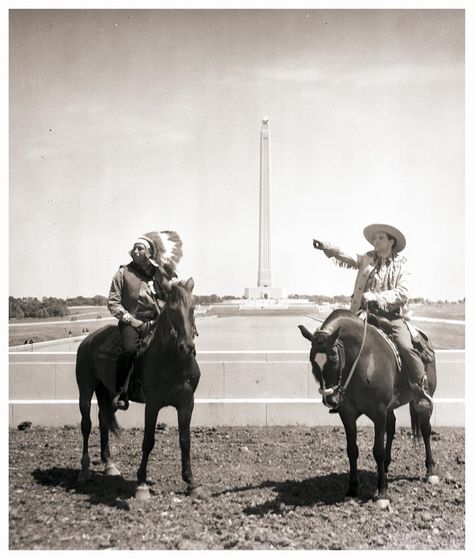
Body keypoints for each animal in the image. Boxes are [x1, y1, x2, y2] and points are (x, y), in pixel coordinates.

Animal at [75, 278, 200, 498]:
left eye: (192, 308)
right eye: (172, 310)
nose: (187, 347)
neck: (173, 361)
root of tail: (89, 339)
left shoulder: (187, 404)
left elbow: (185, 440)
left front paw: (190, 482)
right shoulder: (152, 404)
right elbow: (148, 441)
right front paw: (141, 483)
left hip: (110, 394)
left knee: (103, 420)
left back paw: (109, 465)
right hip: (85, 389)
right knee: (86, 425)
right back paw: (84, 471)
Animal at [298, 308, 438, 510]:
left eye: (333, 359)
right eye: (312, 361)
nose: (330, 400)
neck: (363, 359)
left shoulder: (378, 412)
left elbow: (377, 450)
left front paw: (382, 493)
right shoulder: (347, 414)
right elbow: (352, 450)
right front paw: (352, 490)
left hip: (425, 401)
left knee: (426, 430)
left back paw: (431, 471)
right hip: (390, 408)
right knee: (392, 428)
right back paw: (385, 468)